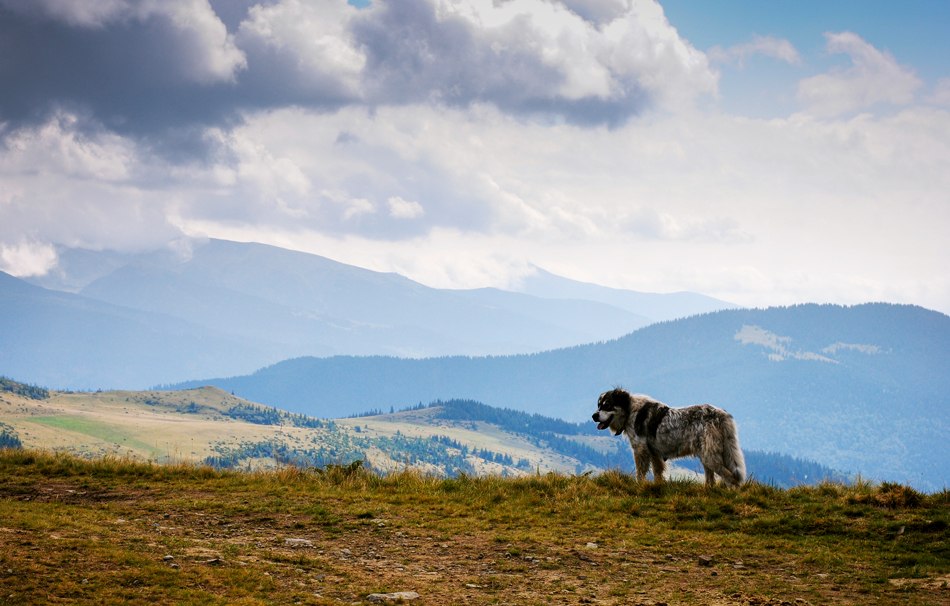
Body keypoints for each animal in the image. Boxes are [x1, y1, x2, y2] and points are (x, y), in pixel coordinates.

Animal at [592, 392, 748, 486]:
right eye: (598, 406)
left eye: (607, 406)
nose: (594, 416)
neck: (630, 411)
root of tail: (722, 414)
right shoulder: (654, 454)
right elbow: (657, 472)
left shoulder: (640, 450)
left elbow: (640, 472)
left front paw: (639, 485)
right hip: (707, 455)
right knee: (711, 478)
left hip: (710, 456)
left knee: (730, 477)